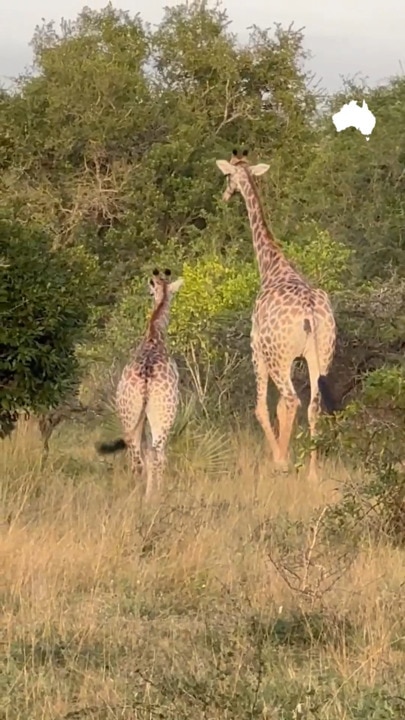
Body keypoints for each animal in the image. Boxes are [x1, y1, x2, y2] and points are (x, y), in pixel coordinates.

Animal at [94, 268, 183, 498]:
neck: (154, 336)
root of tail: (145, 378)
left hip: (129, 416)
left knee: (138, 459)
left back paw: (137, 497)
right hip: (163, 415)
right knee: (157, 454)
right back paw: (155, 496)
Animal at [216, 149, 336, 478]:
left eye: (227, 176)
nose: (225, 195)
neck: (271, 266)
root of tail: (310, 312)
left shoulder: (256, 346)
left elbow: (261, 406)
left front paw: (279, 458)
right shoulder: (295, 357)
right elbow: (280, 407)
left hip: (277, 355)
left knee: (292, 400)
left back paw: (283, 463)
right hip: (321, 354)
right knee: (312, 405)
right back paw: (312, 474)